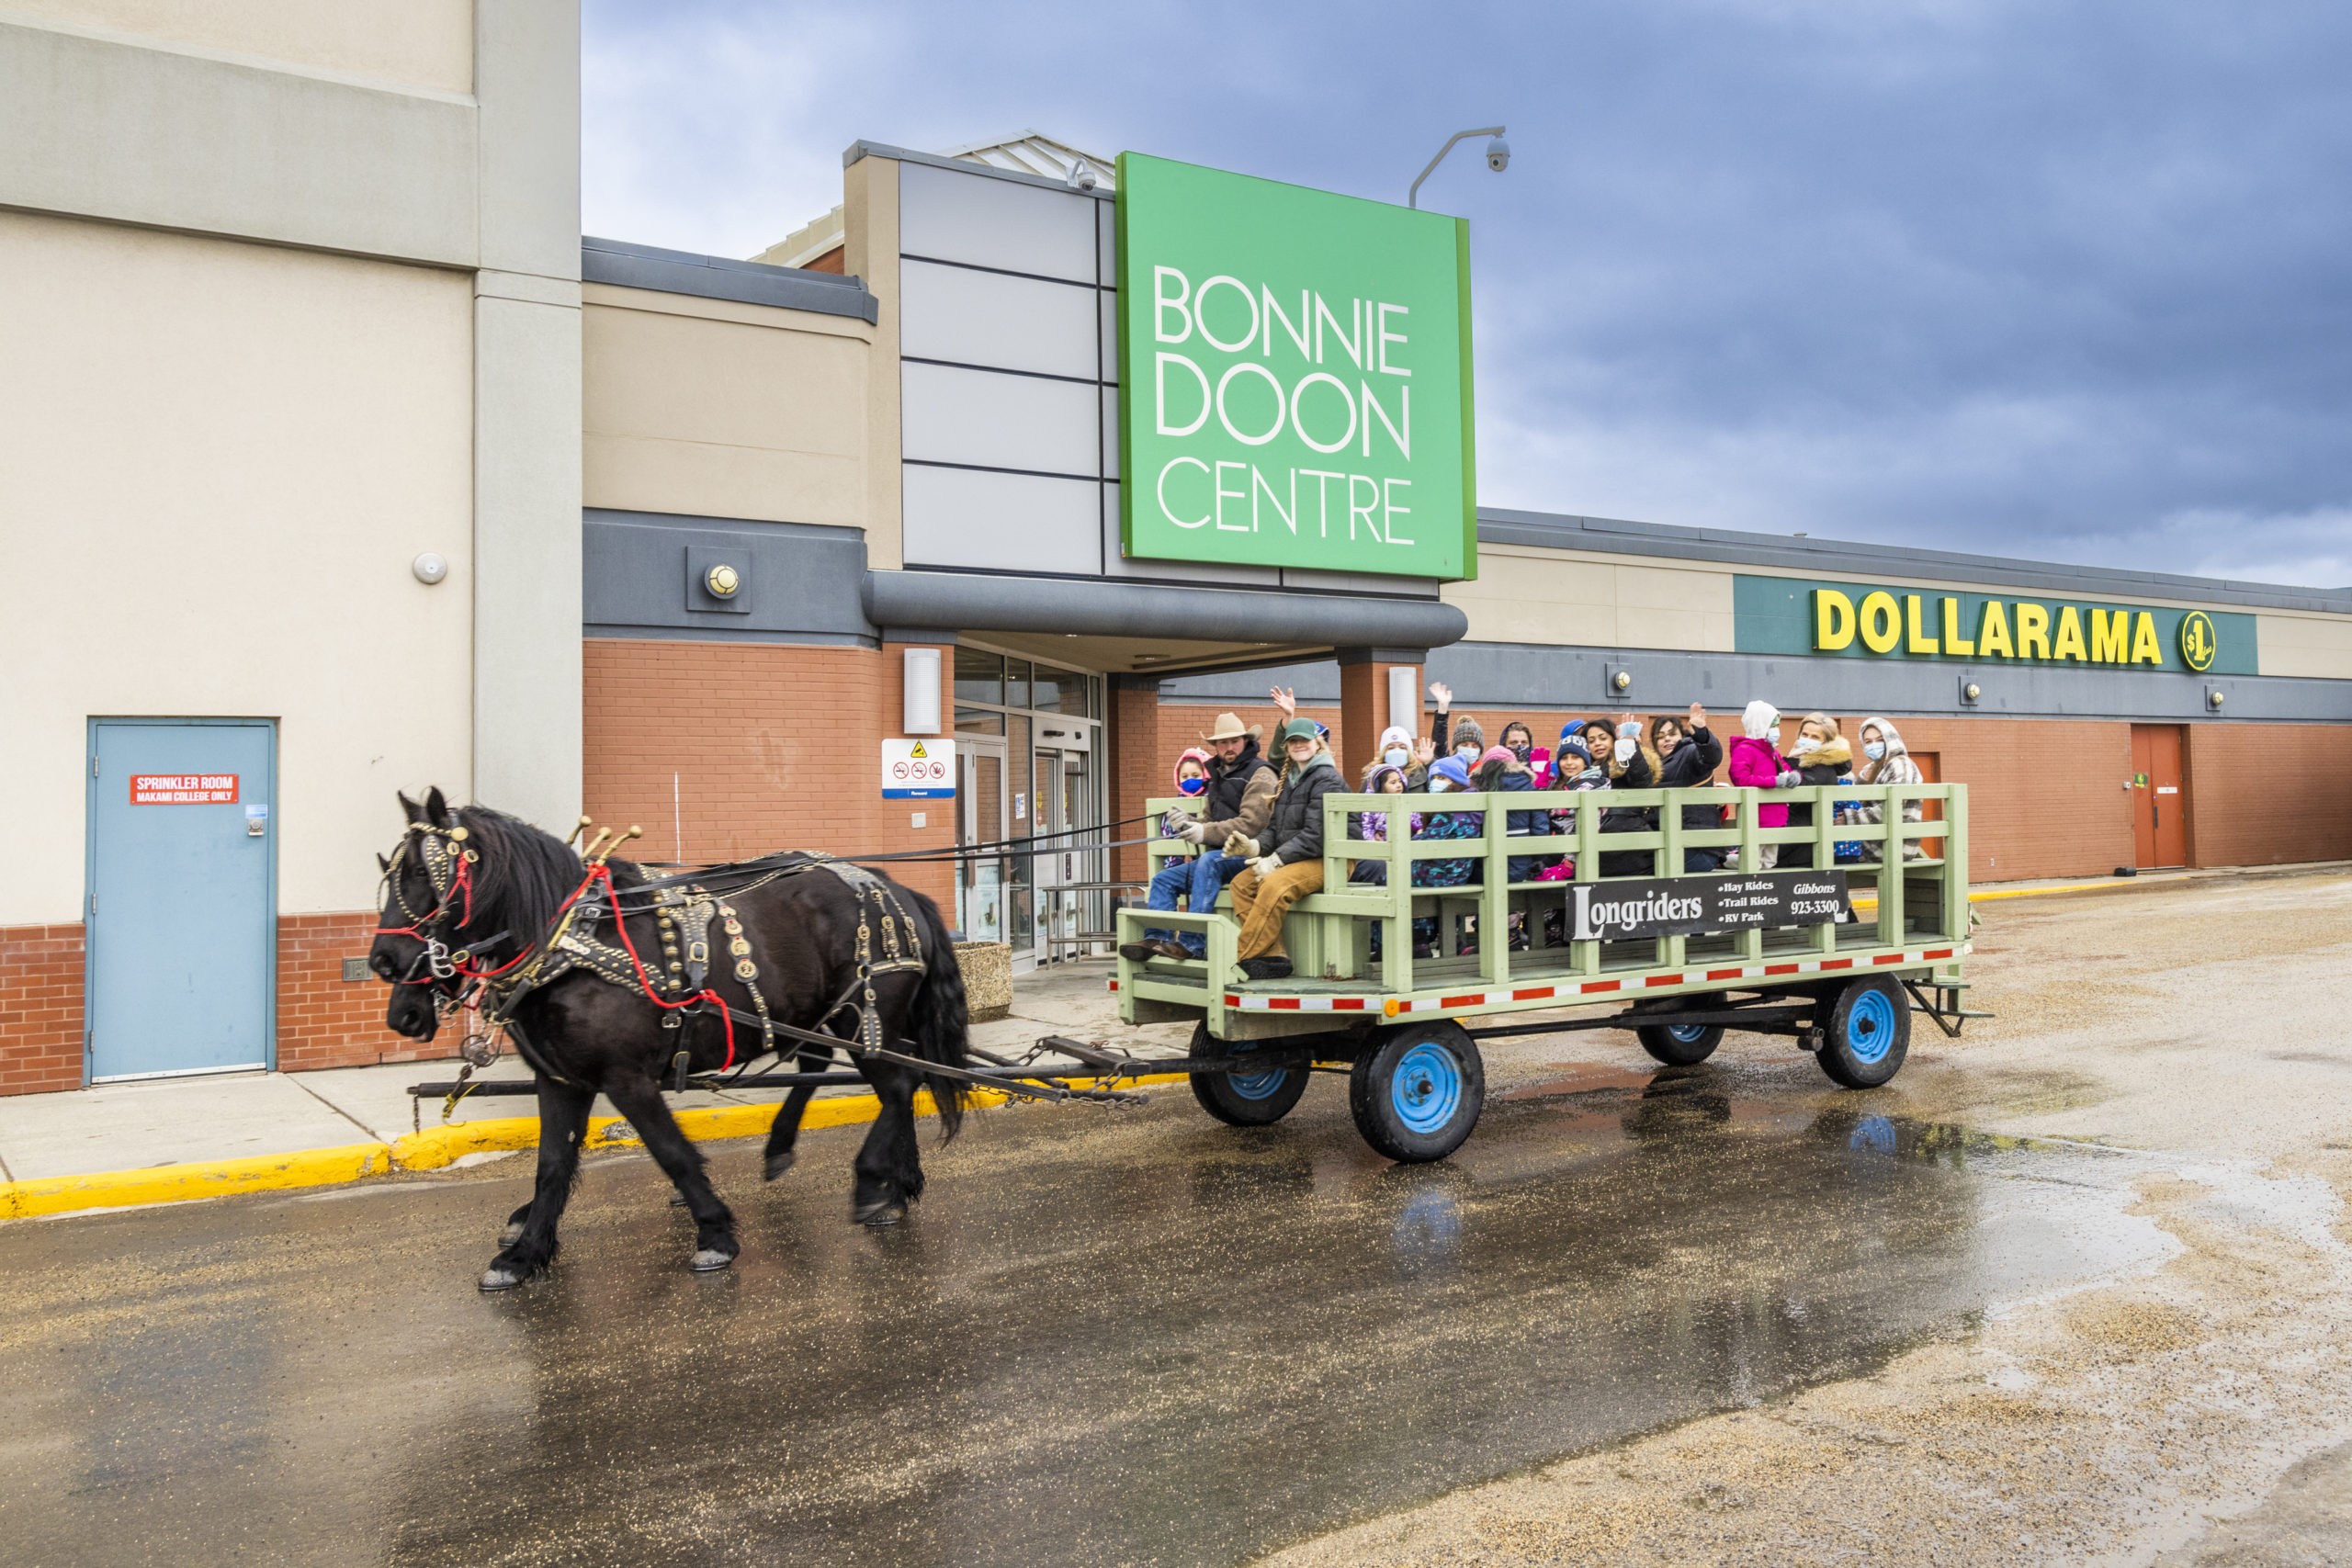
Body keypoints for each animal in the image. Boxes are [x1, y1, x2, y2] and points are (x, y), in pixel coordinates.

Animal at [374, 789, 973, 1297]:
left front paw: (715, 1233)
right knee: (852, 1071)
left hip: (861, 1016)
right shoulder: (562, 1077)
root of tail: (895, 887)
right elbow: (552, 1165)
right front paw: (523, 1255)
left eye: (424, 872)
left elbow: (672, 1153)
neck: (569, 943)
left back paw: (873, 1182)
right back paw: (874, 1177)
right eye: (390, 871)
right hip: (828, 1014)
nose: (383, 962)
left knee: (897, 1085)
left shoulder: (626, 1078)